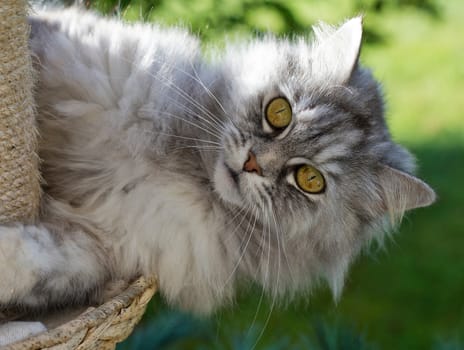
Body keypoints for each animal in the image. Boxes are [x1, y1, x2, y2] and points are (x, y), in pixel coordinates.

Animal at [0, 8, 436, 316]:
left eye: (310, 179)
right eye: (279, 112)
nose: (253, 163)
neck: (185, 174)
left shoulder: (105, 244)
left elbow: (30, 261)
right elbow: (45, 26)